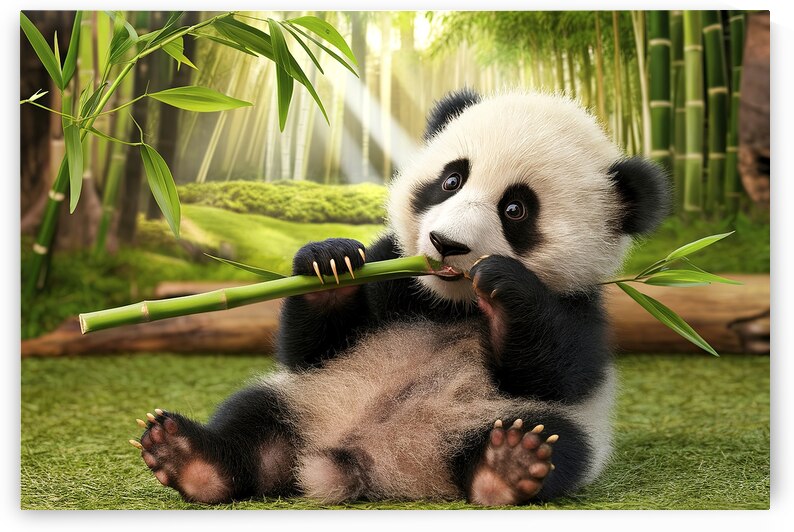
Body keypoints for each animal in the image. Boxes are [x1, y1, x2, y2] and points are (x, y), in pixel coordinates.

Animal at [133, 89, 669, 506]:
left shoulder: (582, 305)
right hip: (308, 395)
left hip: (502, 420)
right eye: (451, 180)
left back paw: (508, 468)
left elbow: (559, 372)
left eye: (515, 209)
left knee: (556, 440)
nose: (446, 244)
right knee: (253, 419)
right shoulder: (392, 270)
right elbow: (311, 347)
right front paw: (330, 262)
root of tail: (364, 459)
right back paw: (188, 457)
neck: (449, 303)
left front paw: (504, 282)